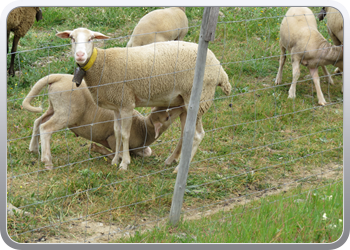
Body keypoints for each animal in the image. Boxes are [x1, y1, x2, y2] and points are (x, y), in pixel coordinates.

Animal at [22, 73, 183, 169]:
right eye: (167, 117)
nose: (181, 107)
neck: (142, 129)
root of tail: (58, 77)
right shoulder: (111, 139)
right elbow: (118, 153)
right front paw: (103, 152)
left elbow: (147, 152)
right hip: (66, 112)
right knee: (46, 128)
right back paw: (47, 161)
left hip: (55, 108)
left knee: (38, 121)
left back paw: (34, 148)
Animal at [56, 27, 231, 172]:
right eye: (71, 38)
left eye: (91, 38)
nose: (80, 55)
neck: (102, 64)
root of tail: (221, 71)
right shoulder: (116, 105)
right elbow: (117, 132)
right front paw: (115, 160)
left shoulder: (126, 103)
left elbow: (125, 134)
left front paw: (124, 163)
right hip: (185, 103)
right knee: (185, 133)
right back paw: (171, 160)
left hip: (200, 98)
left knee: (198, 135)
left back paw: (179, 169)